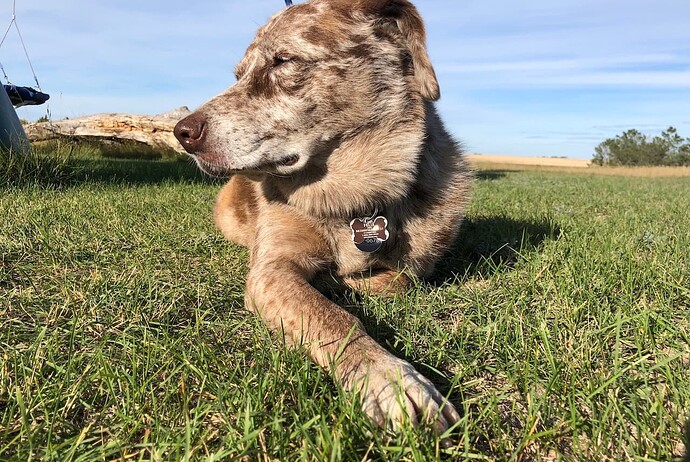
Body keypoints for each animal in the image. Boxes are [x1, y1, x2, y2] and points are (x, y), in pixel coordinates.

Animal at [175, 0, 470, 434]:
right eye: (238, 75)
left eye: (283, 60)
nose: (181, 132)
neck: (351, 200)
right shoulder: (271, 269)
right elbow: (334, 318)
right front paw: (390, 380)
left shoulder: (411, 268)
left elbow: (394, 281)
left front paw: (345, 282)